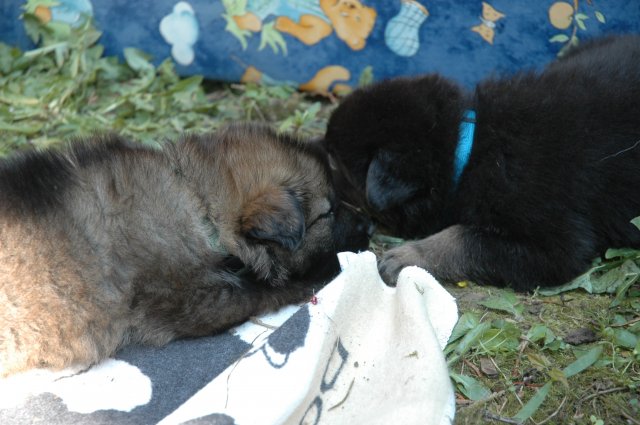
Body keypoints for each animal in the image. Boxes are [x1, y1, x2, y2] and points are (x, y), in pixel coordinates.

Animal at [0, 123, 369, 376]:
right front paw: (309, 284)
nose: (368, 227)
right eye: (329, 212)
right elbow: (257, 292)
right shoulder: (192, 301)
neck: (198, 201)